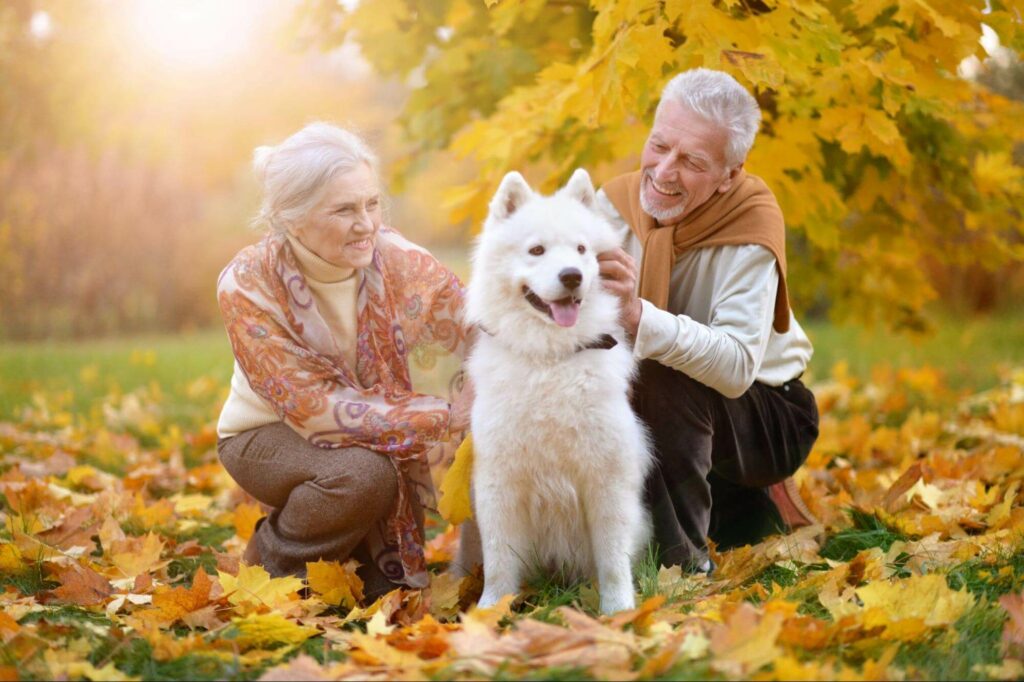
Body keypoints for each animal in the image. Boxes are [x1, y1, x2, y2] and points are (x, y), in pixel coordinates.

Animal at [460, 166, 651, 614]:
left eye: (581, 249)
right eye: (536, 250)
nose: (572, 276)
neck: (551, 361)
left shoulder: (607, 478)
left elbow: (612, 558)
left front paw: (619, 611)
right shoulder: (499, 481)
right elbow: (498, 559)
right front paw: (488, 611)